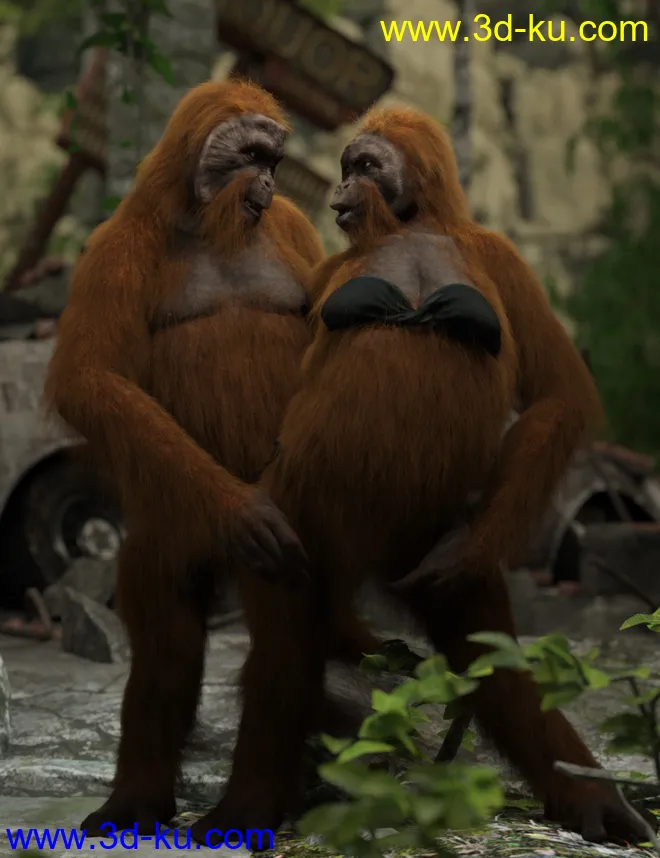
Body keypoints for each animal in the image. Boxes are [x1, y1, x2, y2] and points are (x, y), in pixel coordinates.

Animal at [43, 79, 381, 836]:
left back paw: (250, 802)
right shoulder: (113, 246)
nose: (267, 182)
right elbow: (92, 376)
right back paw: (136, 798)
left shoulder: (295, 230)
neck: (203, 223)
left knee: (280, 637)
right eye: (250, 155)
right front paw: (242, 510)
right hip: (170, 522)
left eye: (274, 162)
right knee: (167, 639)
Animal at [188, 106, 654, 849]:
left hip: (422, 540)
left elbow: (557, 393)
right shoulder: (326, 282)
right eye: (346, 166)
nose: (341, 191)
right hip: (303, 521)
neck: (409, 227)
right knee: (285, 645)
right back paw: (249, 804)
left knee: (495, 660)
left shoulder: (500, 259)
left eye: (365, 165)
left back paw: (593, 801)